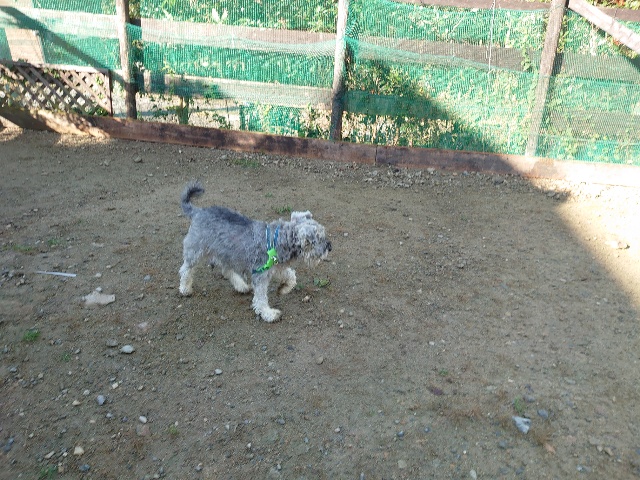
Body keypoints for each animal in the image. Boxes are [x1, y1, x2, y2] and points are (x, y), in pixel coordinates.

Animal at [178, 181, 332, 322]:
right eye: (318, 238)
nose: (329, 246)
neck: (278, 240)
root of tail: (198, 212)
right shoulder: (260, 274)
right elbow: (261, 297)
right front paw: (268, 313)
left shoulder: (275, 267)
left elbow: (291, 276)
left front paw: (284, 288)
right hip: (195, 250)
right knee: (186, 269)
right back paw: (185, 288)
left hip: (228, 253)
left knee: (226, 270)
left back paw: (241, 286)